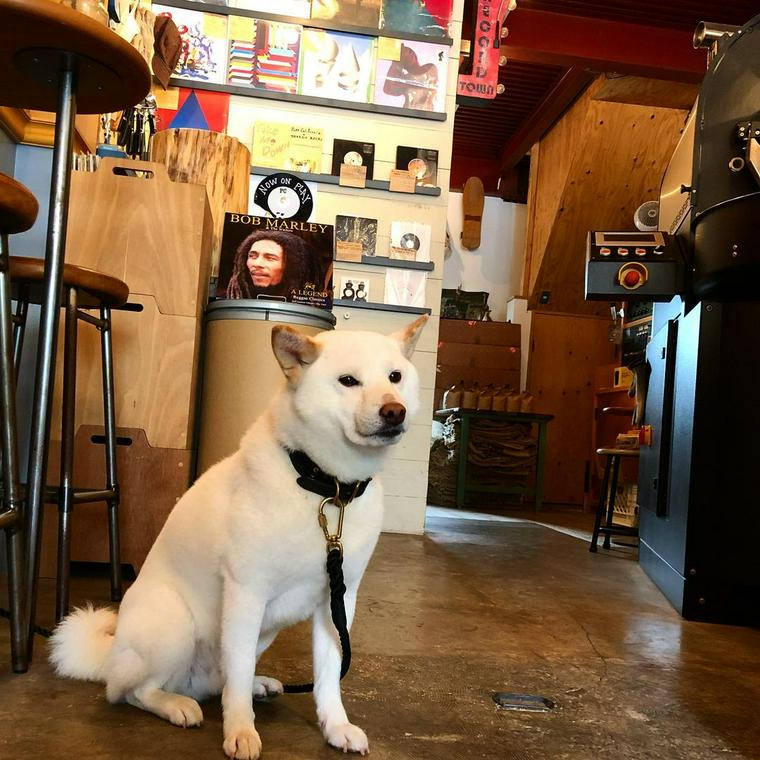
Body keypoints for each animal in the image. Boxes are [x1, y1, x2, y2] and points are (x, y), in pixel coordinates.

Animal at [49, 316, 424, 760]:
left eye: (395, 377)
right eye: (348, 380)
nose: (394, 411)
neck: (327, 490)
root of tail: (109, 657)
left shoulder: (338, 601)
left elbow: (329, 675)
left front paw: (336, 726)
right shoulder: (246, 593)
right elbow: (239, 675)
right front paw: (241, 730)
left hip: (262, 632)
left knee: (219, 681)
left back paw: (257, 685)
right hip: (172, 622)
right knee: (132, 691)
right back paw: (175, 705)